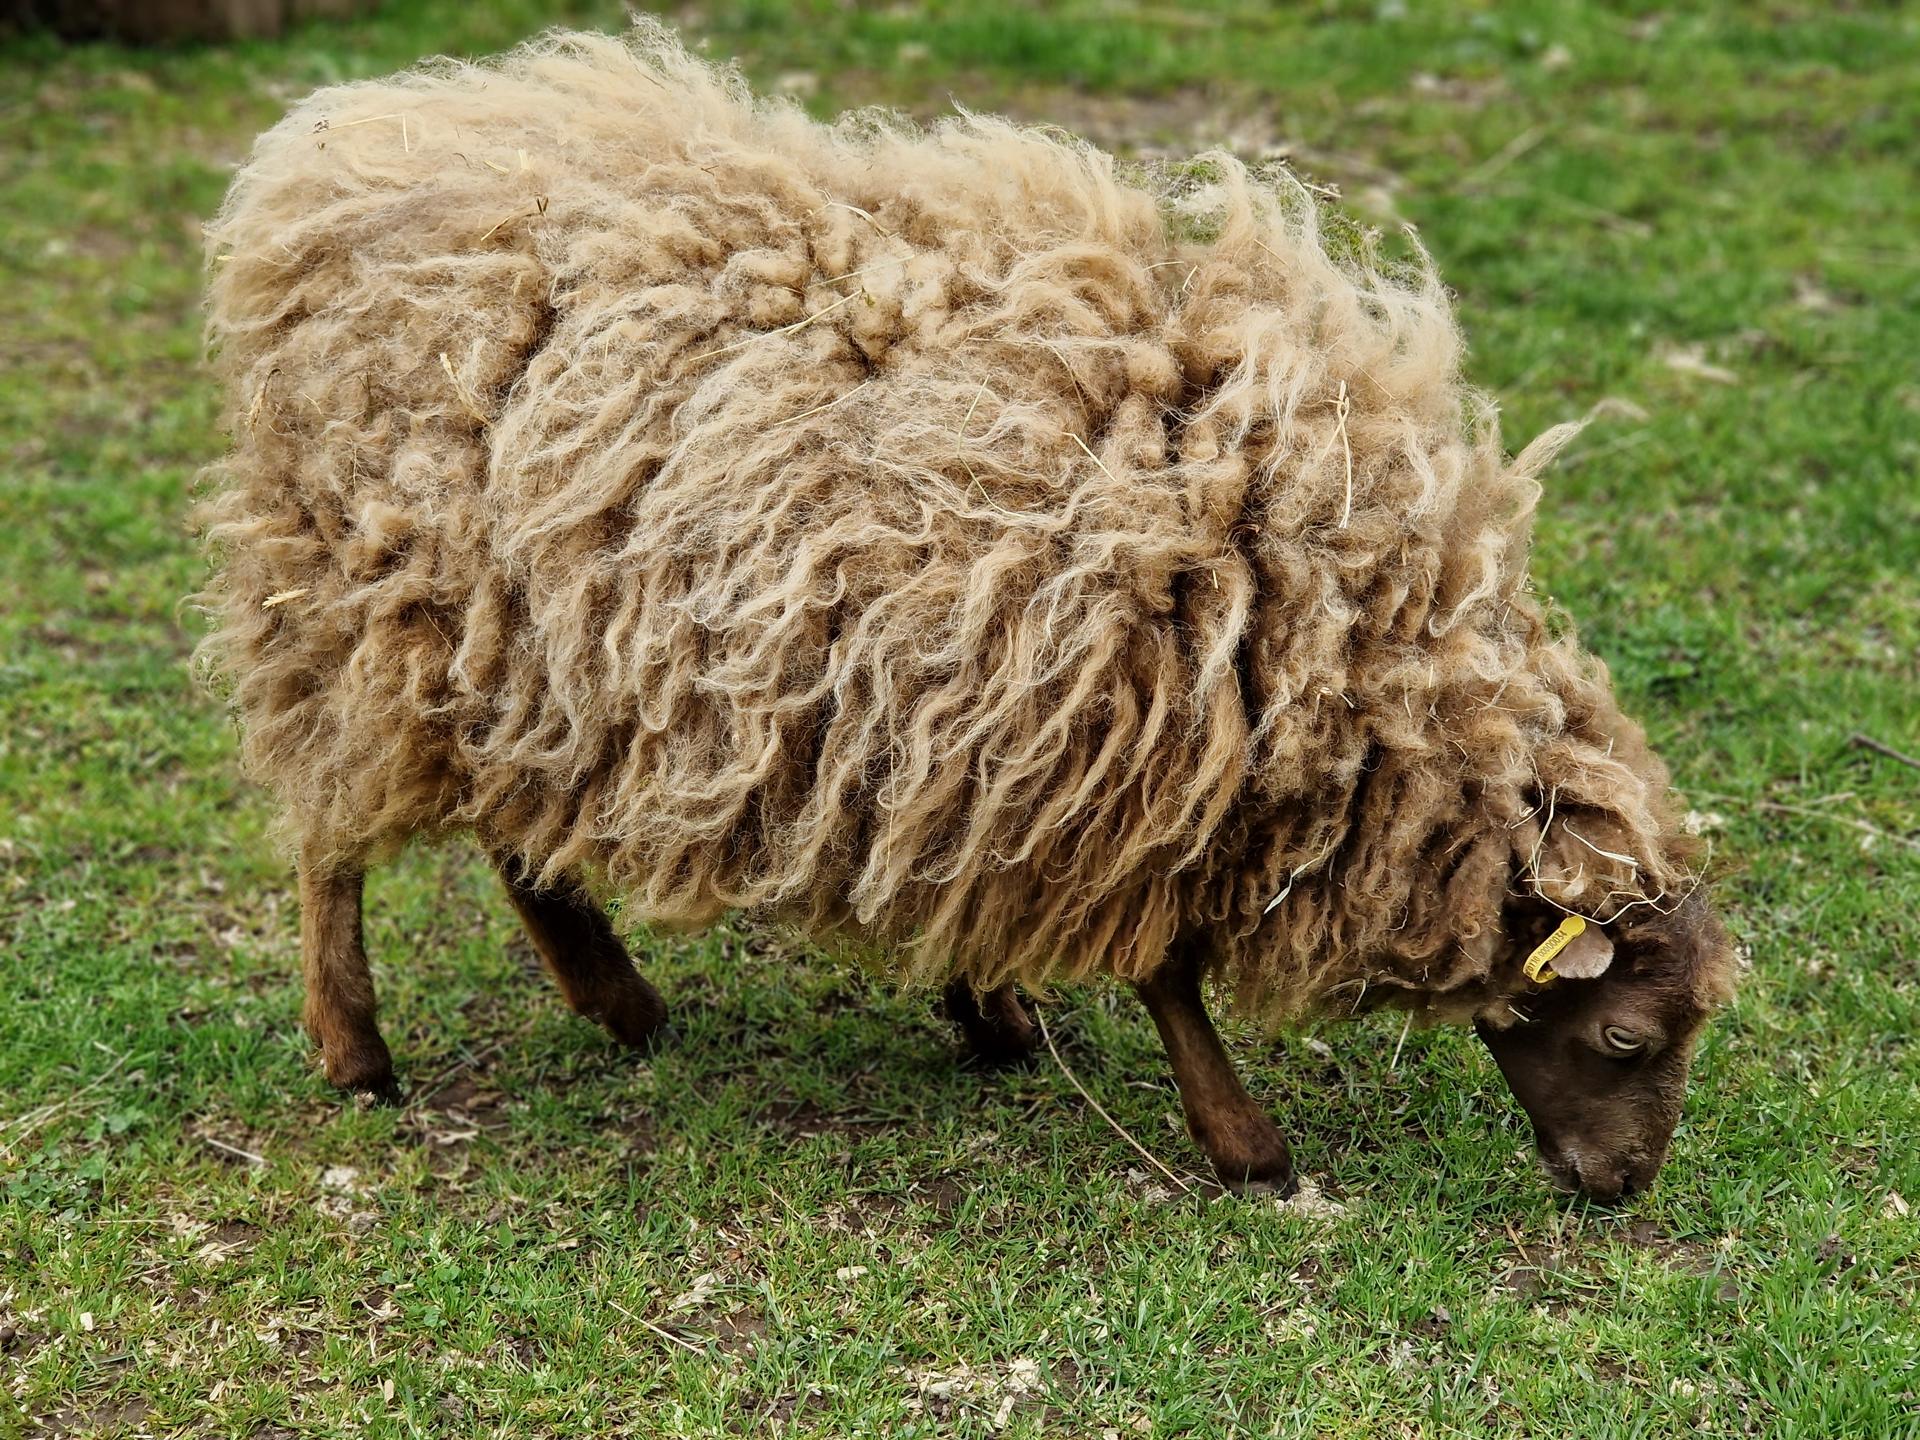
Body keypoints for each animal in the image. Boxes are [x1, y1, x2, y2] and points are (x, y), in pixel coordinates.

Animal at [196, 23, 1739, 1201]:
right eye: (1625, 1038)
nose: (1622, 1186)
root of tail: (336, 149)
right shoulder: (1123, 736)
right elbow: (1168, 968)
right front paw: (1239, 1141)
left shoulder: (1014, 720)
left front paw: (990, 1011)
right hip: (356, 598)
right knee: (330, 841)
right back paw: (358, 1052)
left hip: (519, 630)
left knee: (516, 826)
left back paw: (617, 1004)